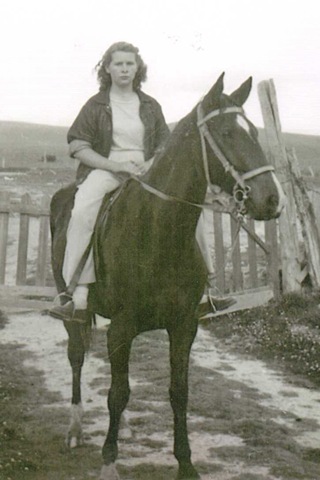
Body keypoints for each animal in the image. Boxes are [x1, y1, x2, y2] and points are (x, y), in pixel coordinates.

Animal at [50, 72, 284, 480]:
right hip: (73, 313)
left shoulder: (183, 326)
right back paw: (75, 429)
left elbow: (178, 392)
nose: (271, 199)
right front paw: (109, 461)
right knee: (77, 358)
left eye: (254, 131)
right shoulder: (122, 327)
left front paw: (186, 464)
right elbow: (118, 393)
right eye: (226, 133)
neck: (158, 230)